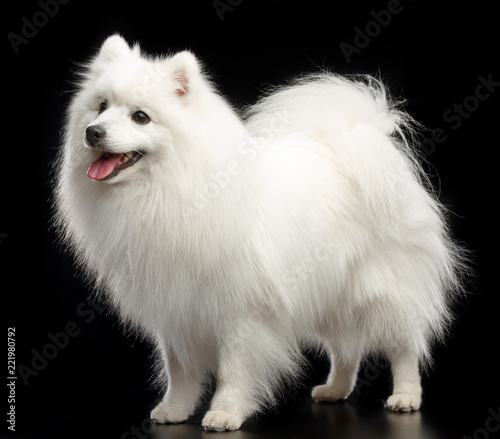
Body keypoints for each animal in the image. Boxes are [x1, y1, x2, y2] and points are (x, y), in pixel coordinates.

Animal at [54, 35, 464, 434]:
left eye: (140, 117)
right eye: (101, 107)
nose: (93, 132)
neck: (172, 190)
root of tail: (354, 142)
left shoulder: (241, 311)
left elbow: (234, 369)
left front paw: (225, 414)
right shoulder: (177, 308)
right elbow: (179, 369)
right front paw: (174, 409)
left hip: (381, 290)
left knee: (403, 346)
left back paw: (406, 396)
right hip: (331, 293)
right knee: (345, 348)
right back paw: (335, 389)